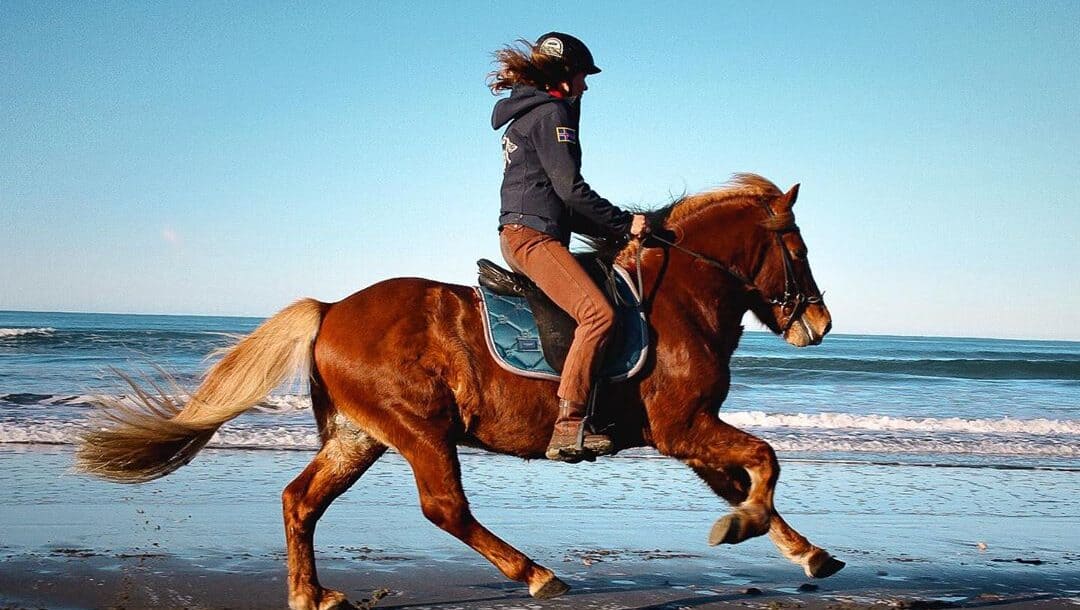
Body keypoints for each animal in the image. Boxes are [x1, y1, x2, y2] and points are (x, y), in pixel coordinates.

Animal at [77, 173, 840, 610]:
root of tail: (332, 308)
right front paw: (746, 527)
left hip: (361, 436)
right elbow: (765, 462)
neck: (678, 298)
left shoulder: (686, 435)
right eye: (799, 246)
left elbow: (745, 480)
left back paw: (310, 594)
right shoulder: (683, 427)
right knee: (444, 508)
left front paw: (805, 551)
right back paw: (535, 573)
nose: (821, 323)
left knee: (300, 500)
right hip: (420, 430)